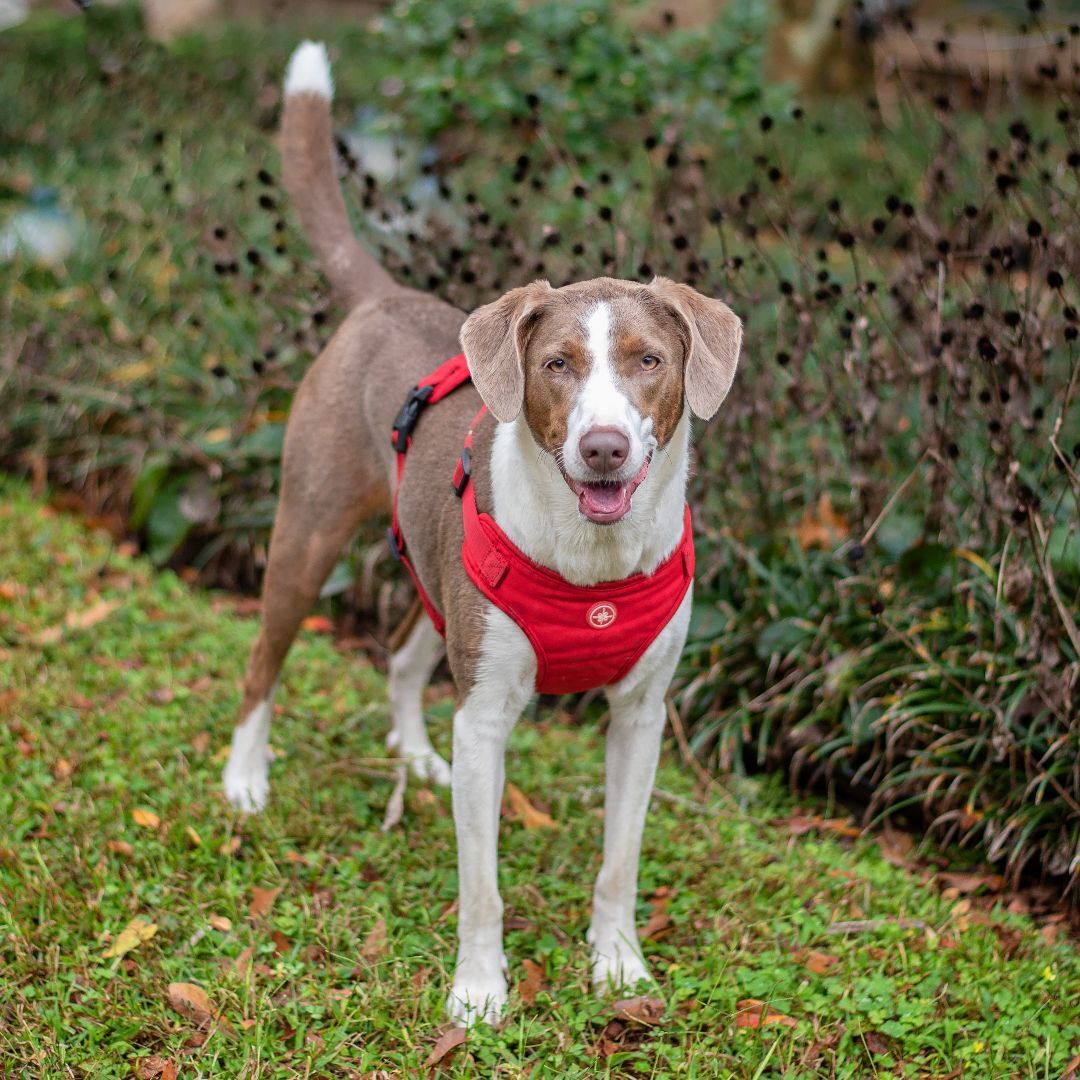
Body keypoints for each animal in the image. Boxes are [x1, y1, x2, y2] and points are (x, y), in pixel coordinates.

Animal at [221, 39, 743, 1019]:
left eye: (649, 361)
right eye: (557, 365)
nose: (605, 448)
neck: (592, 563)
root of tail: (382, 298)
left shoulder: (641, 715)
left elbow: (619, 861)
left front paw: (619, 963)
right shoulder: (489, 720)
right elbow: (483, 884)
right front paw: (477, 991)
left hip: (442, 578)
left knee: (401, 655)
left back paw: (416, 753)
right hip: (306, 535)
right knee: (263, 660)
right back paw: (245, 777)